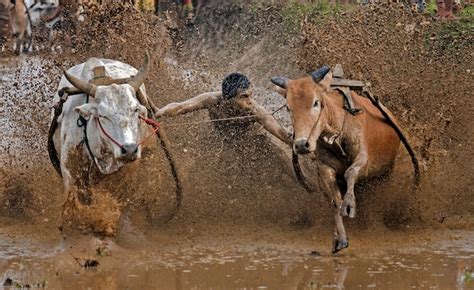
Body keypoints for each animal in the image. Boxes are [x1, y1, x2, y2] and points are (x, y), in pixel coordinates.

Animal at [270, 67, 418, 253]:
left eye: (316, 102)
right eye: (289, 108)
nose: (302, 145)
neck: (337, 131)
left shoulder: (364, 161)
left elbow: (350, 173)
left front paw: (349, 204)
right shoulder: (325, 169)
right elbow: (335, 201)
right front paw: (340, 238)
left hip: (385, 174)